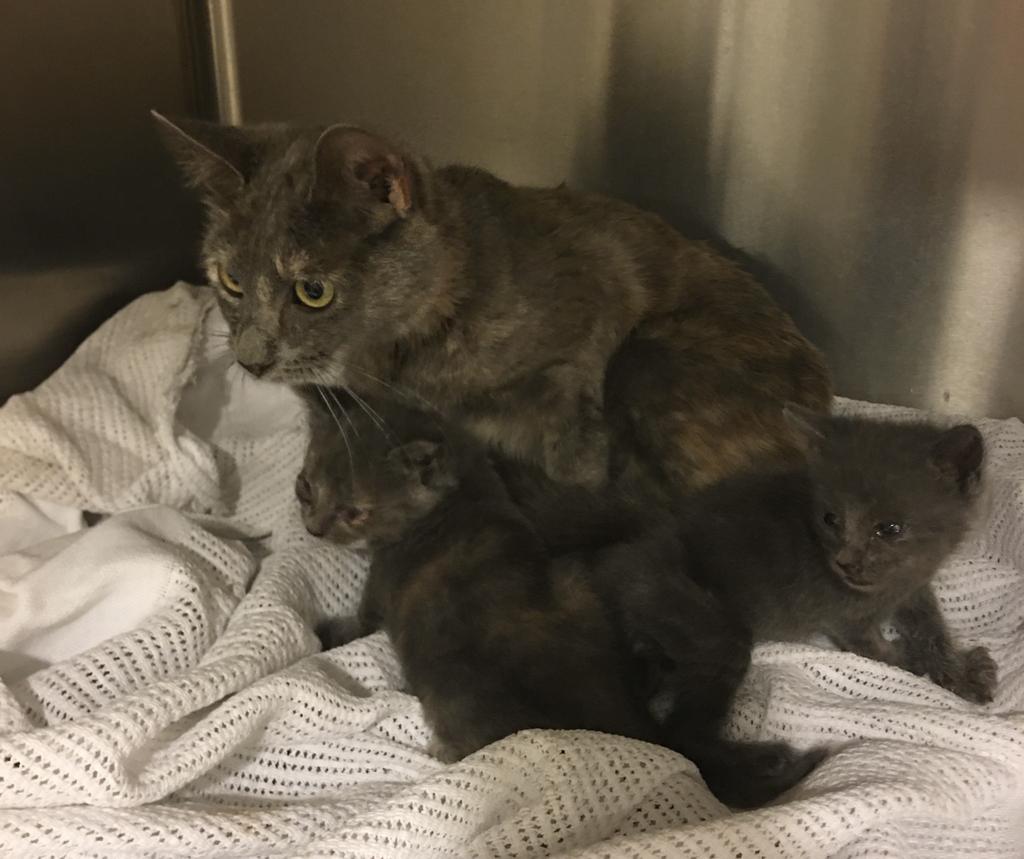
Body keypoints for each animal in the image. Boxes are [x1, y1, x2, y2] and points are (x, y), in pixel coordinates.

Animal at [155, 113, 831, 494]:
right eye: (229, 280)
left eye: (312, 291)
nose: (250, 359)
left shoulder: (579, 353)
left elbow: (576, 461)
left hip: (649, 361)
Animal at [299, 391, 824, 808]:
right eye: (305, 486)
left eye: (353, 512)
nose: (313, 528)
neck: (462, 496)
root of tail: (639, 732)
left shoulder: (382, 584)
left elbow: (362, 622)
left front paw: (327, 633)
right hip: (577, 583)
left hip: (459, 703)